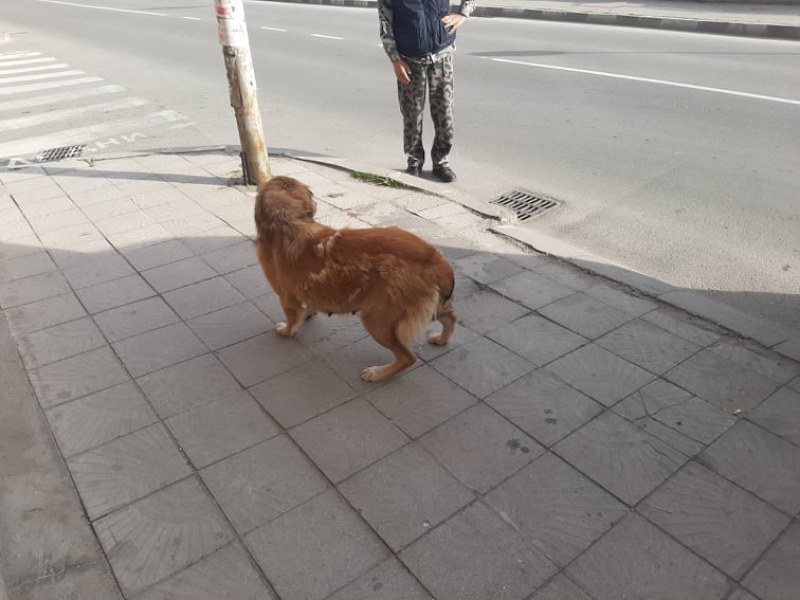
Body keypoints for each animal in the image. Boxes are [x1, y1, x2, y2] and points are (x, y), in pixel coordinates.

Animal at [256, 176, 456, 380]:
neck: (288, 222)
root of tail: (436, 259)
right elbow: (309, 306)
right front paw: (308, 313)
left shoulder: (286, 298)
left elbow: (291, 318)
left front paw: (287, 330)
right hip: (429, 307)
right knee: (451, 317)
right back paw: (441, 339)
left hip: (376, 319)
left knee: (408, 357)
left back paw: (378, 373)